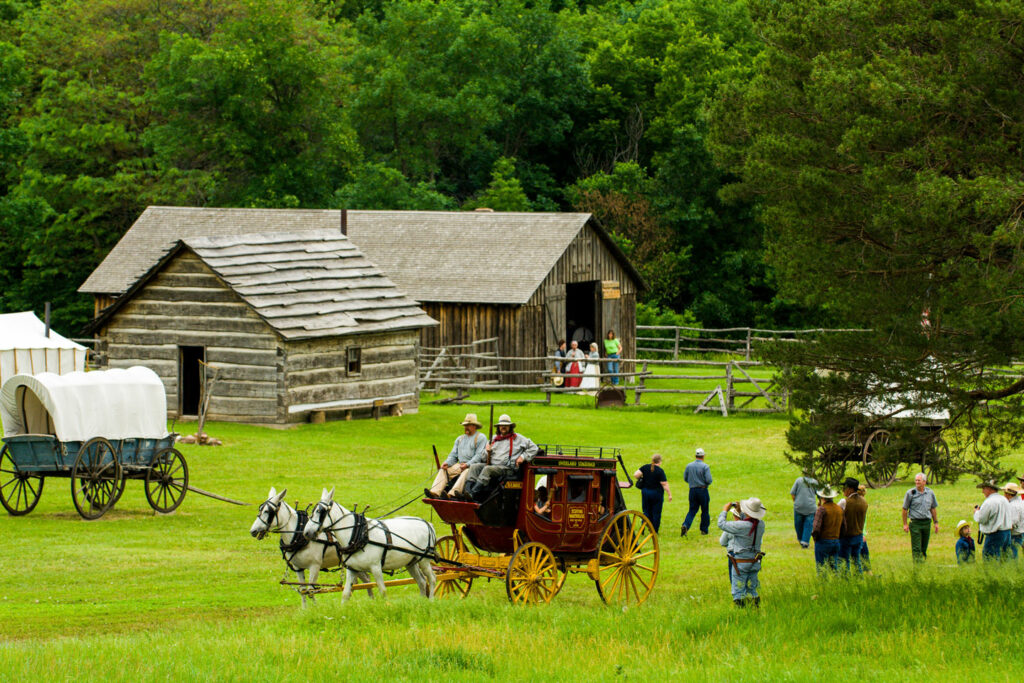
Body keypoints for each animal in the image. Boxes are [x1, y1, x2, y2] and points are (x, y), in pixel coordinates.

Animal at [299, 485, 436, 602]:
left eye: (320, 511)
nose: (306, 532)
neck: (359, 535)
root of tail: (427, 523)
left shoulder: (375, 567)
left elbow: (383, 591)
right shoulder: (352, 569)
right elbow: (346, 594)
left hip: (424, 560)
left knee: (432, 579)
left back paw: (431, 601)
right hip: (411, 562)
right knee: (421, 581)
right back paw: (422, 601)